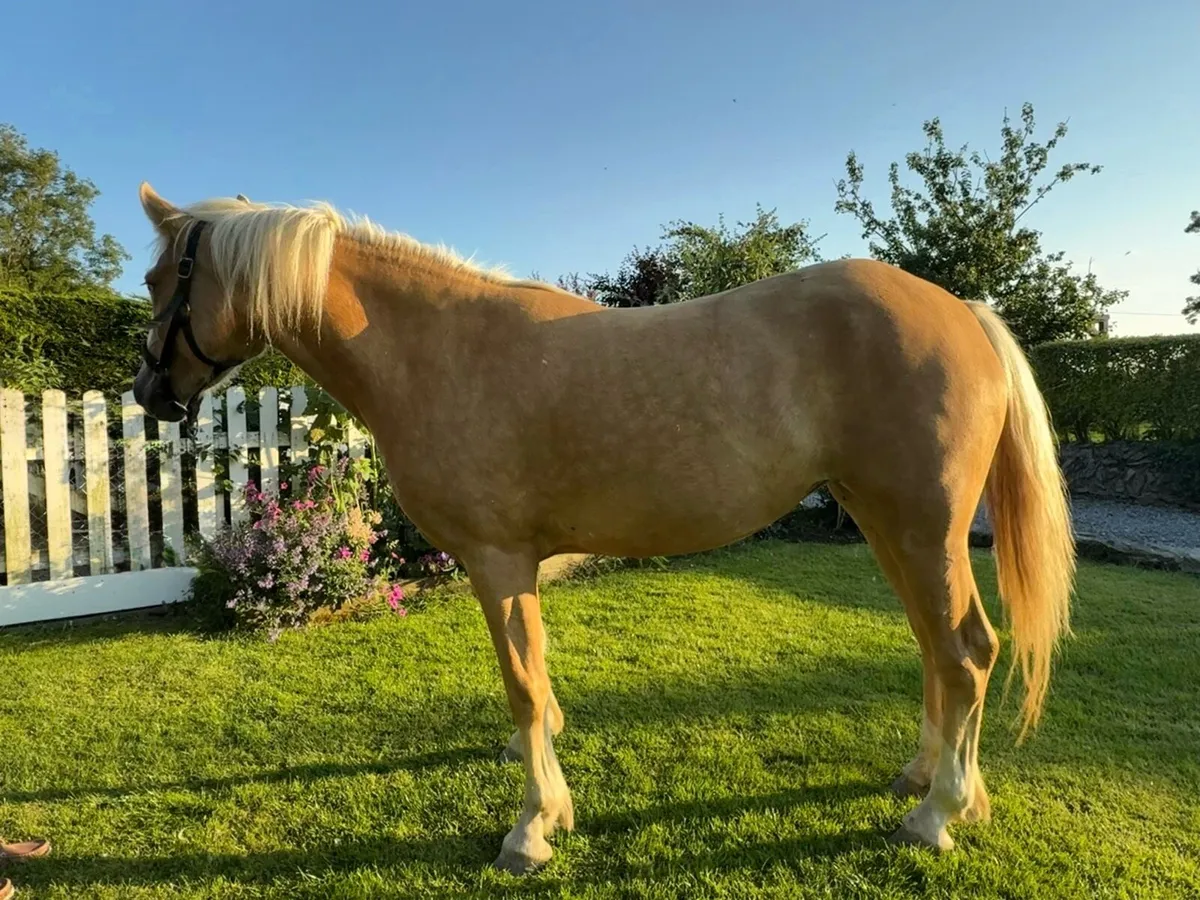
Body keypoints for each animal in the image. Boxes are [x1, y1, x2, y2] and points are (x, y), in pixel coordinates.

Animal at [131, 182, 1075, 874]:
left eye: (157, 283)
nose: (148, 393)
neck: (437, 350)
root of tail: (964, 311)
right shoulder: (517, 567)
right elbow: (538, 681)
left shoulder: (497, 561)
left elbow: (521, 683)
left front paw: (532, 829)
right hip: (890, 526)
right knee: (936, 649)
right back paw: (929, 779)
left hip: (921, 530)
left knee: (967, 652)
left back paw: (939, 812)